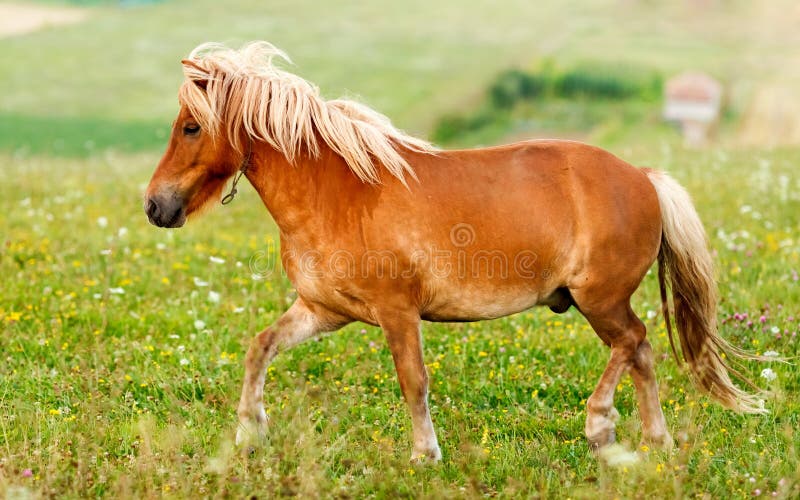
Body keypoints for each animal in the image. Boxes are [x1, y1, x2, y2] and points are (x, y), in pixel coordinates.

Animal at [144, 42, 764, 462]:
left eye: (192, 126)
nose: (155, 206)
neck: (338, 193)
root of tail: (642, 176)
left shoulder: (397, 313)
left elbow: (413, 381)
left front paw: (425, 454)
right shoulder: (323, 311)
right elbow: (260, 348)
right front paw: (249, 432)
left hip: (600, 299)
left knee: (633, 342)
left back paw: (599, 427)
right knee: (641, 353)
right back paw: (654, 441)